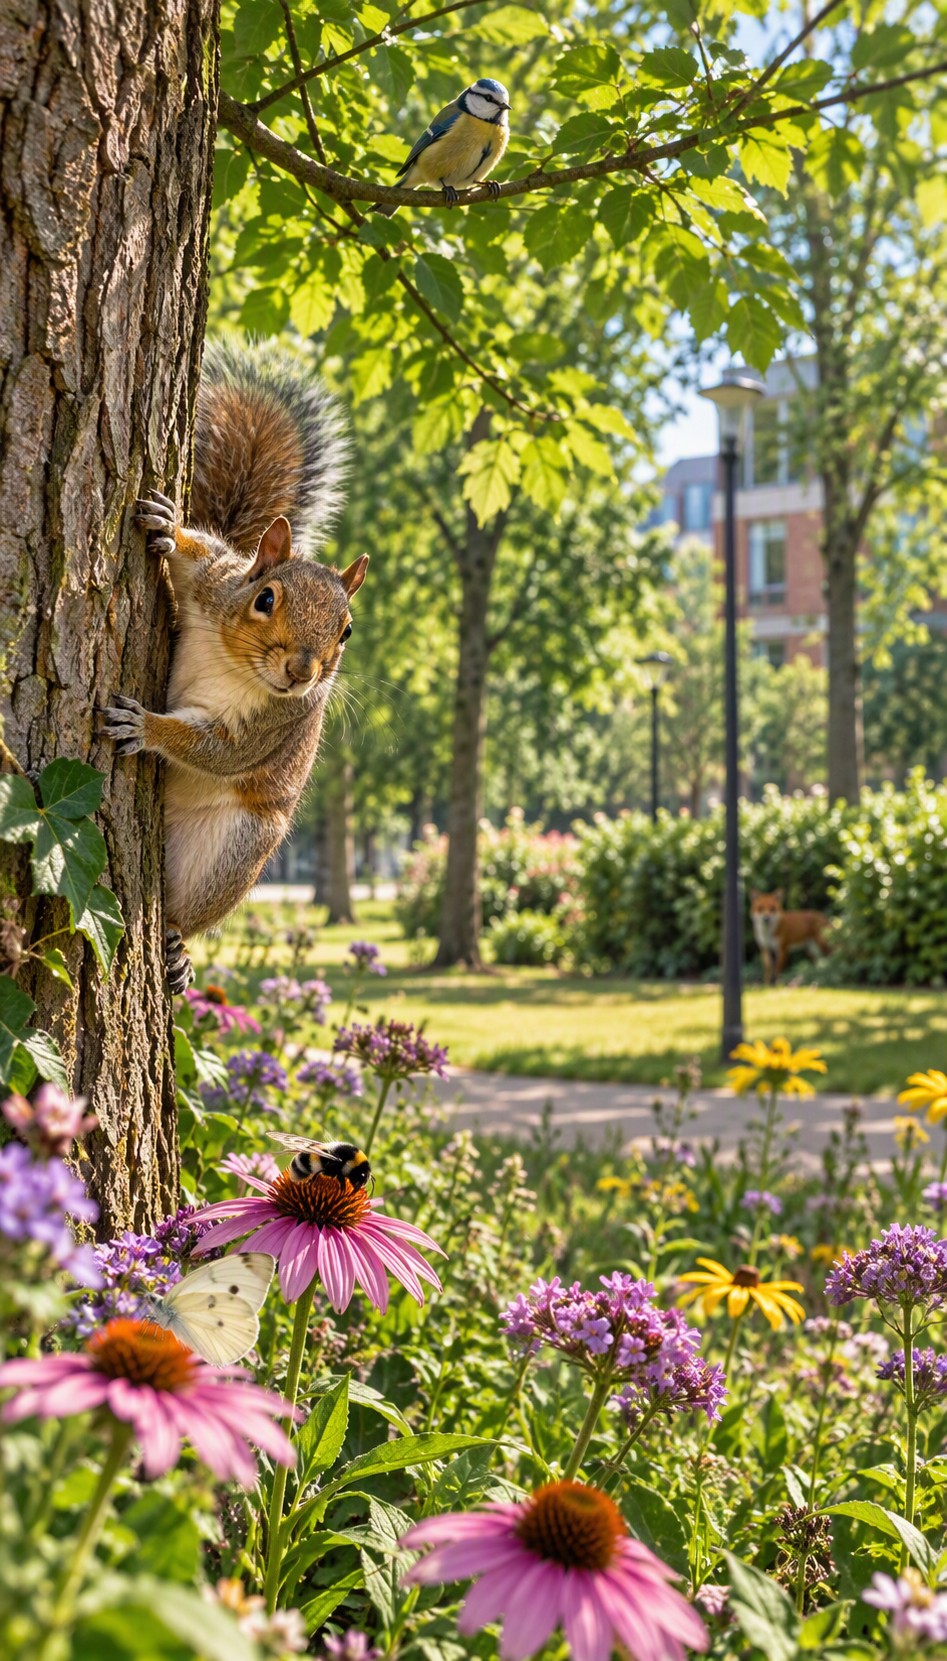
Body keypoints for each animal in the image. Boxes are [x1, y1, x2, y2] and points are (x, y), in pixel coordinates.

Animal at [102, 342, 367, 993]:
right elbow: (197, 552)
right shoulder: (216, 581)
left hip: (238, 851)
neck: (237, 663)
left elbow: (216, 750)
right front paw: (168, 526)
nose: (302, 672)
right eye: (264, 598)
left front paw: (145, 726)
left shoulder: (272, 726)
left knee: (186, 912)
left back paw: (176, 948)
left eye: (347, 631)